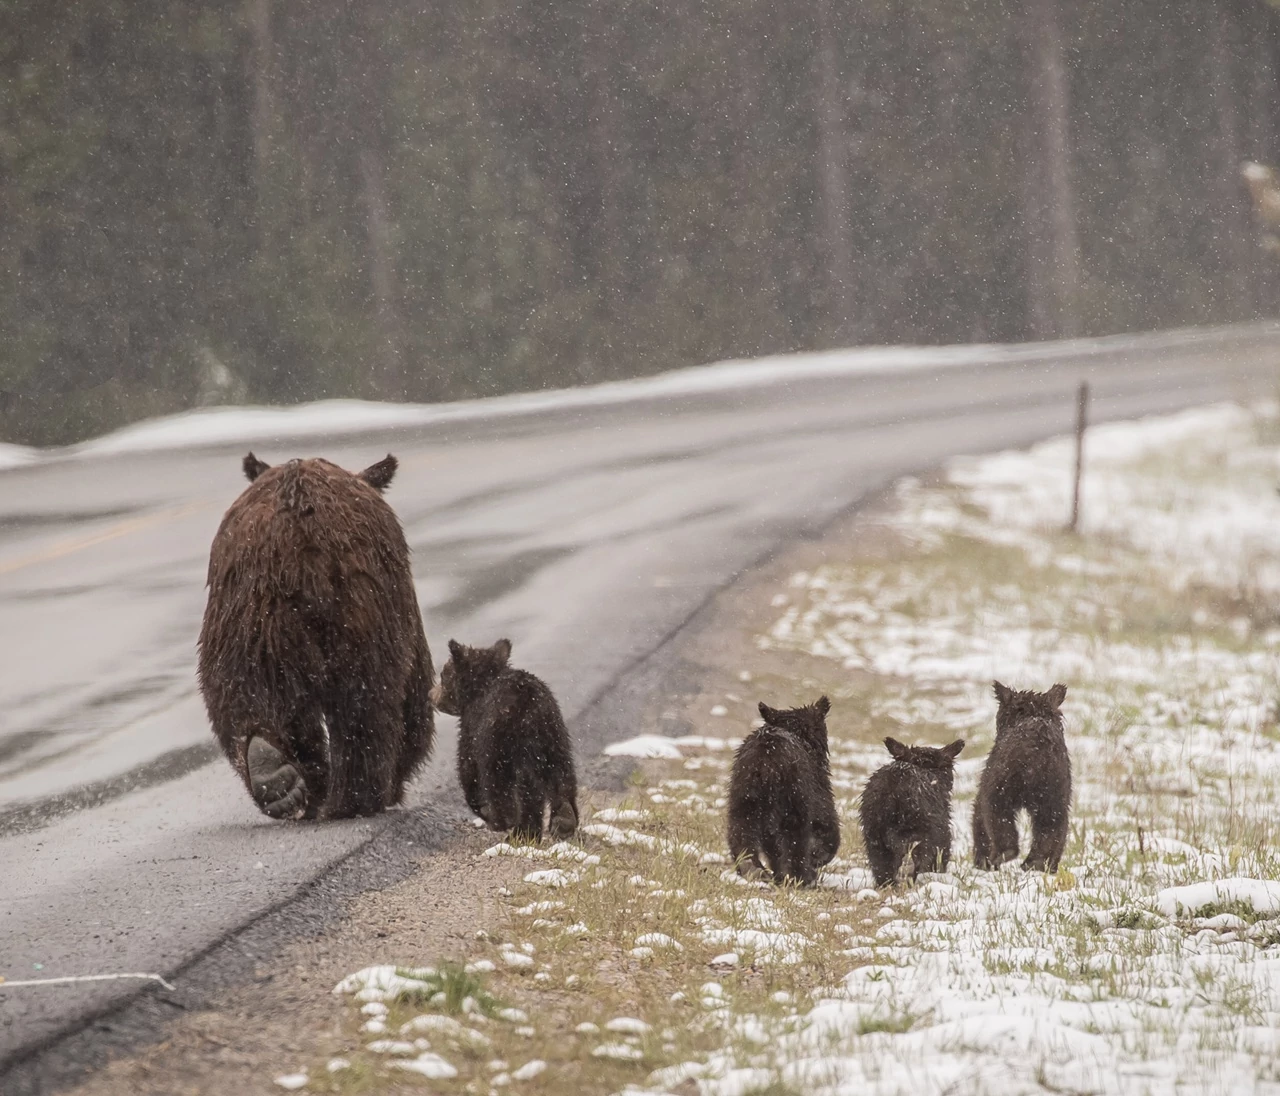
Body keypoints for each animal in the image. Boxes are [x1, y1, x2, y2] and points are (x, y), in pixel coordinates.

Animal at [195, 450, 435, 819]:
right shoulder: (403, 603)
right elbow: (416, 690)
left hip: (248, 619)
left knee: (241, 694)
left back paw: (275, 776)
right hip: (364, 612)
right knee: (367, 702)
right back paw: (354, 799)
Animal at [427, 637, 578, 845]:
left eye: (443, 675)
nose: (431, 694)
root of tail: (528, 708)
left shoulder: (471, 731)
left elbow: (468, 769)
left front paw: (485, 810)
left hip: (498, 745)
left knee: (502, 785)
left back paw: (505, 821)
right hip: (554, 738)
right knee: (561, 776)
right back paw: (562, 820)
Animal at [732, 696, 839, 886]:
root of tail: (766, 763)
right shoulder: (817, 787)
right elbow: (825, 820)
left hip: (744, 795)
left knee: (741, 831)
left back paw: (752, 868)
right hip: (794, 798)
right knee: (795, 841)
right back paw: (802, 877)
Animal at [972, 681, 1075, 870]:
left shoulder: (988, 780)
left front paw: (981, 860)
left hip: (1002, 783)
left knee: (998, 816)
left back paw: (1002, 854)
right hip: (1055, 790)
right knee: (1053, 825)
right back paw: (1036, 862)